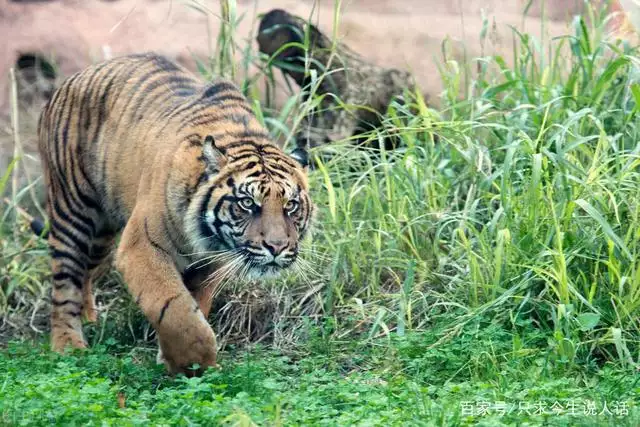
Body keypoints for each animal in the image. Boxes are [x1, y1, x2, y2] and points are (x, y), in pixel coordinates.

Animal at [36, 51, 314, 376]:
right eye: (247, 203)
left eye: (290, 205)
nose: (276, 247)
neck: (206, 237)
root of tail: (66, 82)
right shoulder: (142, 247)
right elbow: (176, 309)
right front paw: (195, 363)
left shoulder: (210, 264)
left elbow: (194, 307)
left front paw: (173, 359)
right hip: (73, 212)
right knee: (65, 282)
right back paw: (68, 345)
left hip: (101, 235)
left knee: (86, 273)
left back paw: (89, 319)